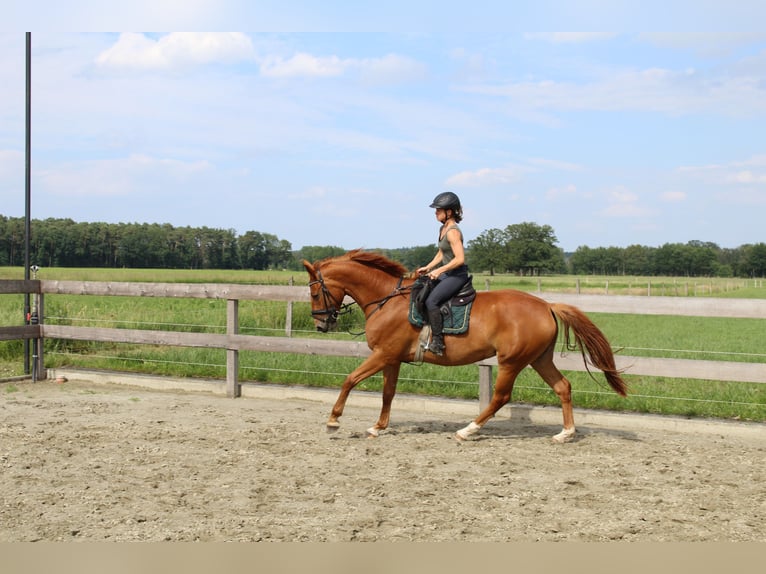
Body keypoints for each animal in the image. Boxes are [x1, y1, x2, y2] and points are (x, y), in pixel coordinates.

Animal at [302, 250, 632, 444]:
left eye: (315, 292)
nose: (321, 325)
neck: (386, 300)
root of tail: (547, 305)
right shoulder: (392, 358)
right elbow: (388, 393)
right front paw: (378, 427)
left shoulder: (382, 355)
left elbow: (349, 380)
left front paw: (333, 420)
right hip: (539, 358)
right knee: (563, 386)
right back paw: (565, 433)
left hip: (512, 360)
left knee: (501, 396)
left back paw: (468, 430)